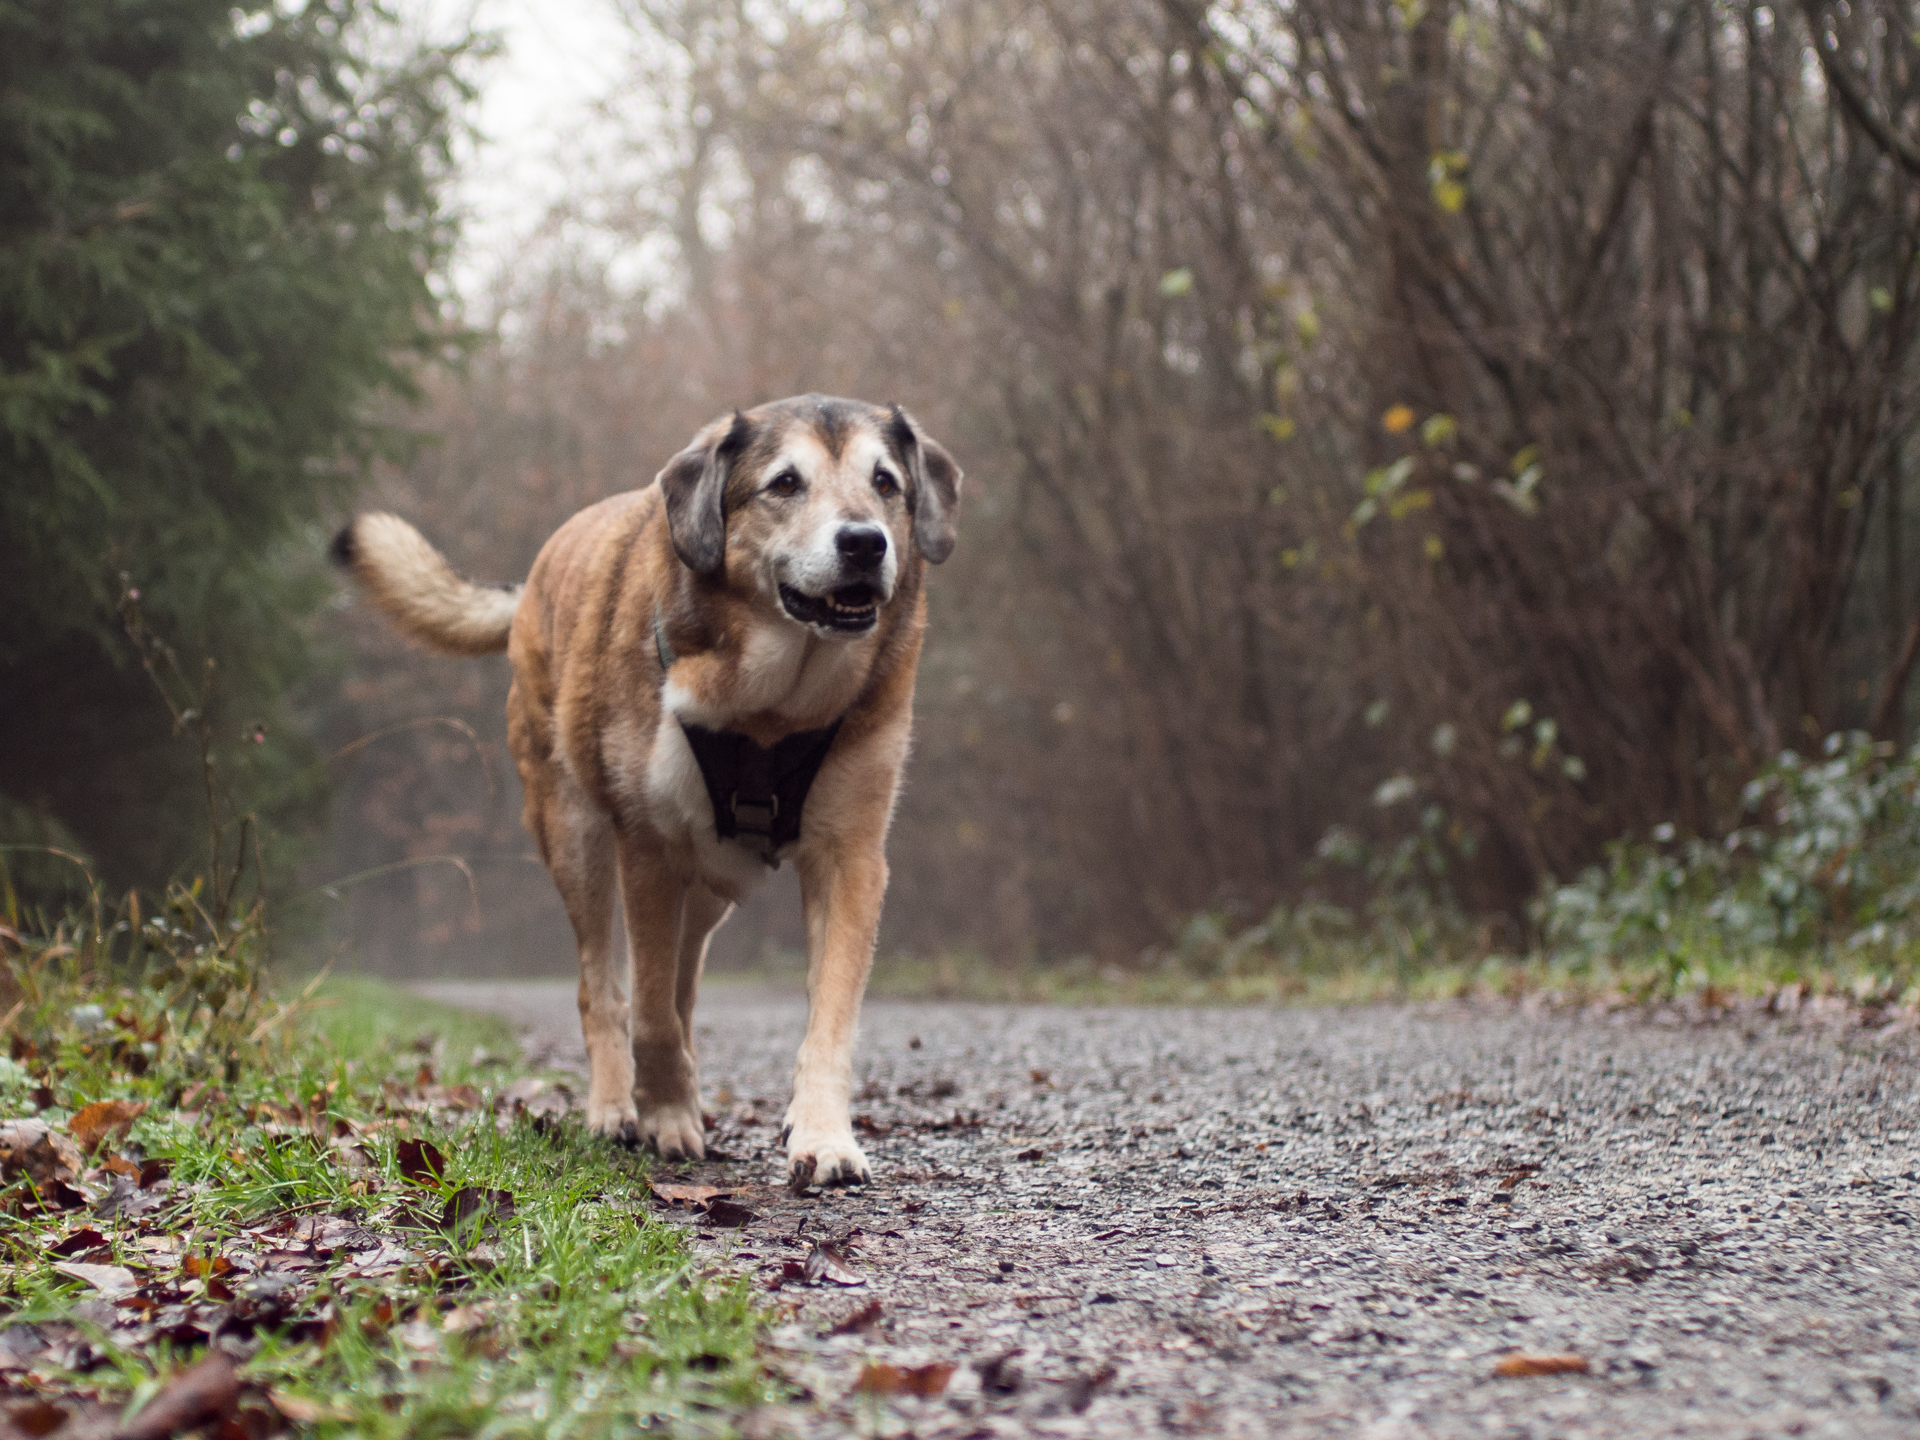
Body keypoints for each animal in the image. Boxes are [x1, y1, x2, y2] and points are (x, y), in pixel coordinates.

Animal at [337, 395, 960, 1182]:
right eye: (785, 483)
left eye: (886, 483)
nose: (864, 544)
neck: (770, 712)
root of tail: (536, 575)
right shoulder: (649, 852)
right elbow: (650, 1010)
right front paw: (664, 1117)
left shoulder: (850, 859)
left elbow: (829, 1014)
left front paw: (823, 1136)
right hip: (576, 840)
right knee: (603, 989)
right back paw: (613, 1108)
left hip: (713, 886)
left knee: (683, 985)